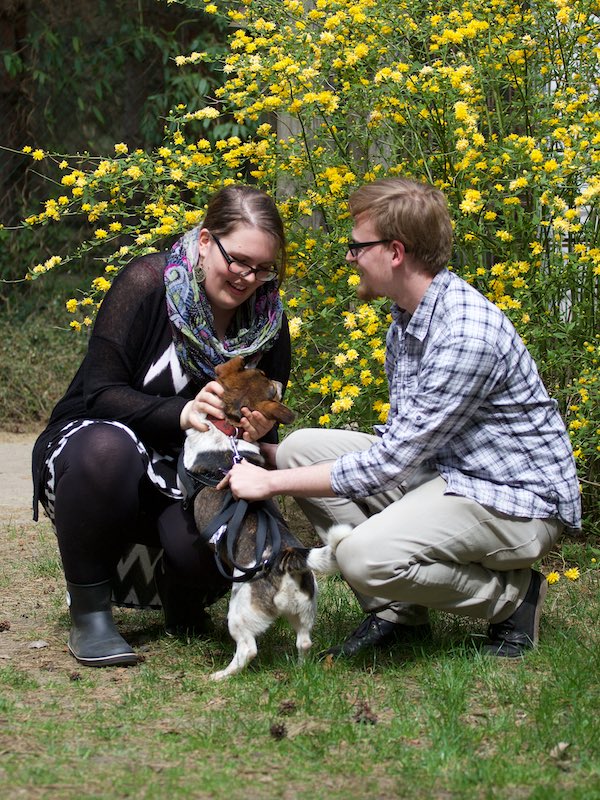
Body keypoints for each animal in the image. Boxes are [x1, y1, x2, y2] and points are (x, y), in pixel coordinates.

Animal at [179, 355, 351, 680]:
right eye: (264, 376)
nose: (281, 381)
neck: (229, 429)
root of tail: (286, 558)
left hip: (239, 611)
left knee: (247, 650)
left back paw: (221, 675)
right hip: (305, 610)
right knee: (305, 642)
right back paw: (299, 668)